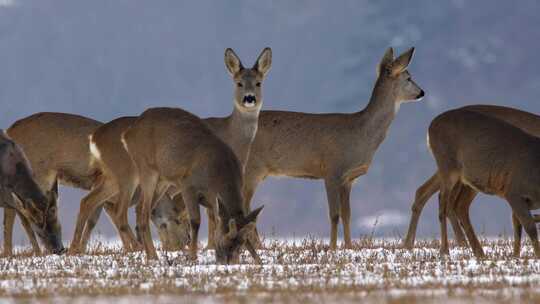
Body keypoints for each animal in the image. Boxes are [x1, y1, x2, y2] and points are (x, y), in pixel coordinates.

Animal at [5, 111, 190, 254]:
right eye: (179, 220)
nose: (184, 242)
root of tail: (10, 130)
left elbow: (97, 218)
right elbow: (109, 217)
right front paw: (134, 247)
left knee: (18, 210)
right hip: (38, 176)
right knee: (21, 213)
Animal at [123, 107, 266, 262]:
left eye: (239, 246)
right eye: (223, 241)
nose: (225, 261)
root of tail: (127, 134)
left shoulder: (211, 199)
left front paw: (258, 260)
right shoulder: (188, 184)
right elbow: (196, 220)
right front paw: (192, 256)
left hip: (162, 180)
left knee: (141, 208)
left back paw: (150, 255)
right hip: (146, 169)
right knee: (144, 212)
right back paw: (154, 256)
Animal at [243, 46, 424, 248]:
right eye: (408, 77)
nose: (422, 92)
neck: (361, 134)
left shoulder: (348, 179)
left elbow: (347, 215)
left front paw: (349, 246)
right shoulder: (332, 170)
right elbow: (334, 214)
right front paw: (332, 247)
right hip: (252, 168)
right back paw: (255, 245)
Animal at [402, 105, 540, 256]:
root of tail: (430, 126)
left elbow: (518, 224)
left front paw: (516, 255)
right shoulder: (513, 192)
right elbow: (529, 227)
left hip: (461, 176)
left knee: (440, 198)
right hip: (449, 166)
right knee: (444, 202)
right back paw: (445, 249)